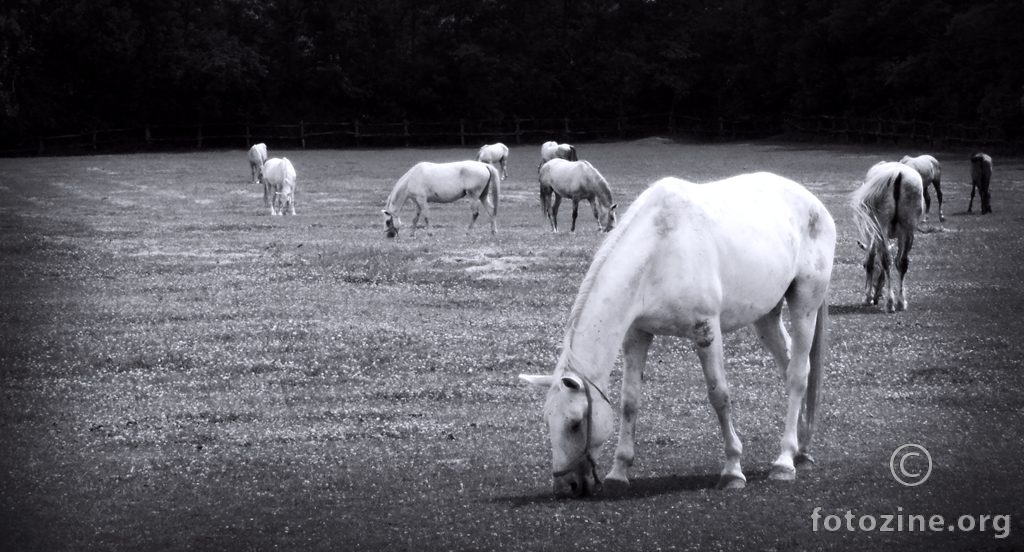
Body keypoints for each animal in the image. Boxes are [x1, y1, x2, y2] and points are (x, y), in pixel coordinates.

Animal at [520, 172, 831, 497]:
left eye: (575, 423)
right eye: (547, 421)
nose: (565, 486)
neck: (658, 250)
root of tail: (815, 203)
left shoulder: (706, 330)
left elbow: (720, 396)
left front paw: (733, 469)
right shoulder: (637, 333)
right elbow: (629, 401)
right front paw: (619, 472)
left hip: (805, 303)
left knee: (797, 375)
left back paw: (784, 462)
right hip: (766, 317)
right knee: (793, 367)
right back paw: (801, 449)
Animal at [851, 161, 925, 313]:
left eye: (862, 265)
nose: (876, 299)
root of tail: (898, 173)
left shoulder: (874, 233)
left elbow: (871, 260)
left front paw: (867, 297)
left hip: (882, 227)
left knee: (886, 260)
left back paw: (890, 303)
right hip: (908, 229)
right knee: (902, 262)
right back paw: (901, 302)